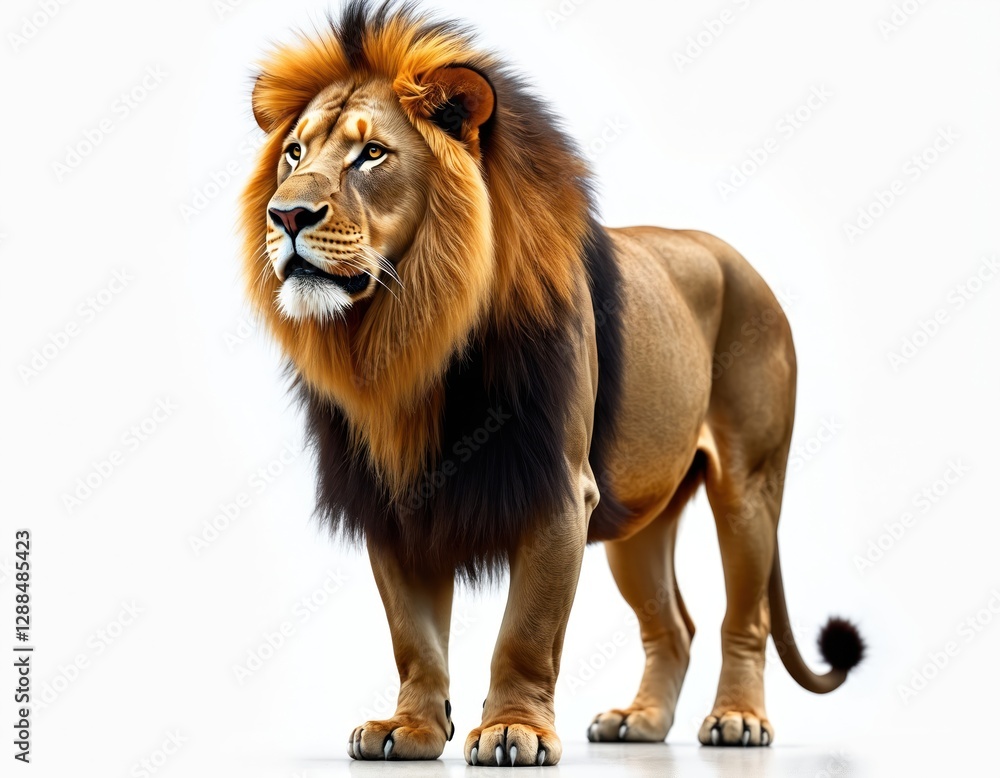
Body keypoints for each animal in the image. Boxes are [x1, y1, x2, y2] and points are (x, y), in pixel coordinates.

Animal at [240, 0, 863, 766]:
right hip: (639, 519)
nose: (286, 215)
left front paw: (515, 730)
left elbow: (527, 630)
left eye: (372, 154)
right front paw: (410, 730)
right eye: (294, 153)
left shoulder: (560, 488)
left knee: (740, 619)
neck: (409, 332)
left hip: (748, 485)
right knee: (672, 625)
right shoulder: (393, 501)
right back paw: (640, 721)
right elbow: (414, 637)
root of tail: (738, 259)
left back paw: (739, 721)